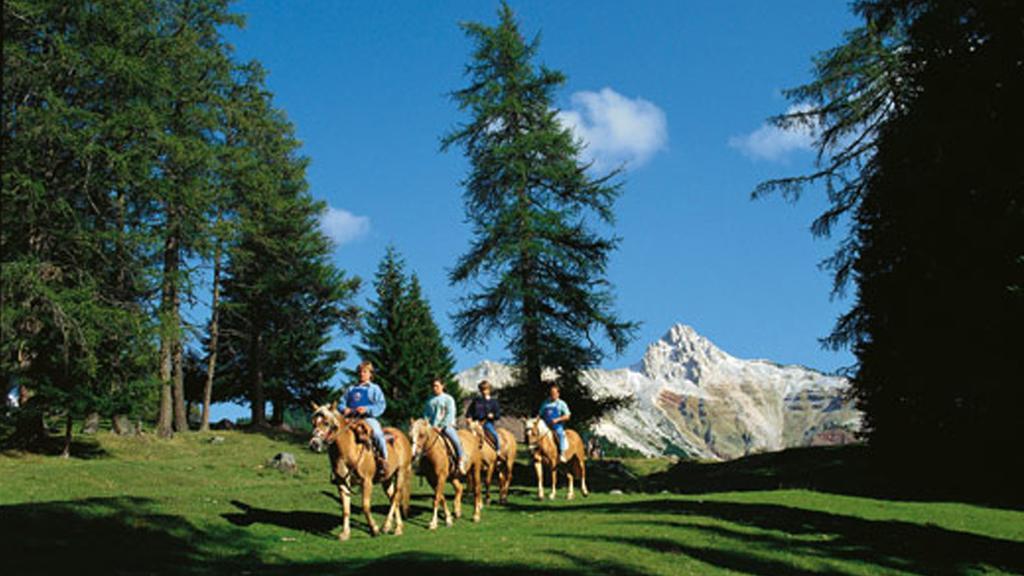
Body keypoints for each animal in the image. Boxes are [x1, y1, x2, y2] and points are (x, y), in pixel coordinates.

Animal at [307, 401, 411, 541]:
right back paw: (398, 528)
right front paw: (345, 533)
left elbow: (365, 506)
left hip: (401, 472)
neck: (349, 449)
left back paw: (386, 526)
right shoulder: (342, 483)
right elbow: (346, 509)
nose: (314, 444)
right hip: (387, 479)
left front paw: (374, 529)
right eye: (313, 422)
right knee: (393, 497)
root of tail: (402, 436)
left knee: (395, 497)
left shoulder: (367, 482)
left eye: (327, 423)